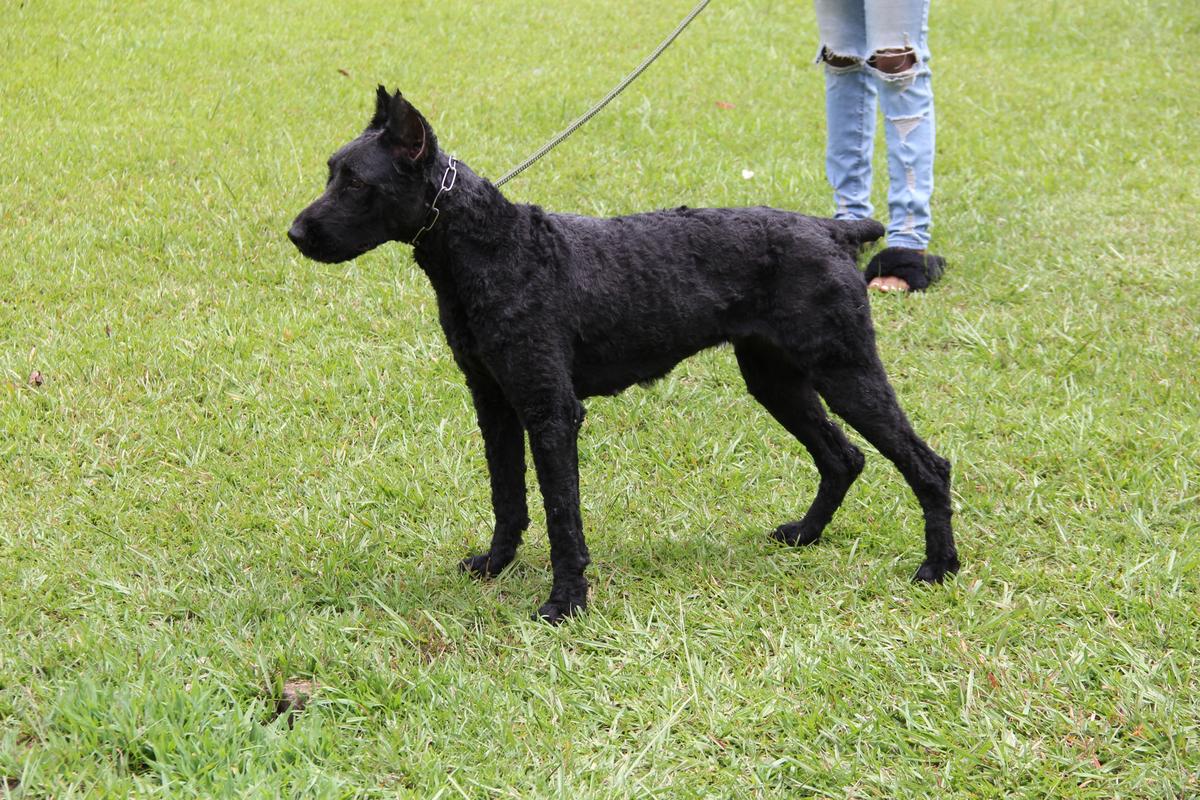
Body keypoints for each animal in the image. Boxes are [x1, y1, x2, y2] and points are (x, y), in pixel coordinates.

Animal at [288, 89, 955, 623]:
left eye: (356, 183)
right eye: (331, 172)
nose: (296, 234)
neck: (492, 246)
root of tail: (834, 231)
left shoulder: (550, 412)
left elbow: (561, 515)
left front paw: (565, 602)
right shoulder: (495, 403)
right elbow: (509, 498)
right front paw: (496, 565)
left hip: (846, 373)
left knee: (927, 464)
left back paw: (939, 567)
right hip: (777, 380)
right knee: (843, 457)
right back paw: (806, 535)